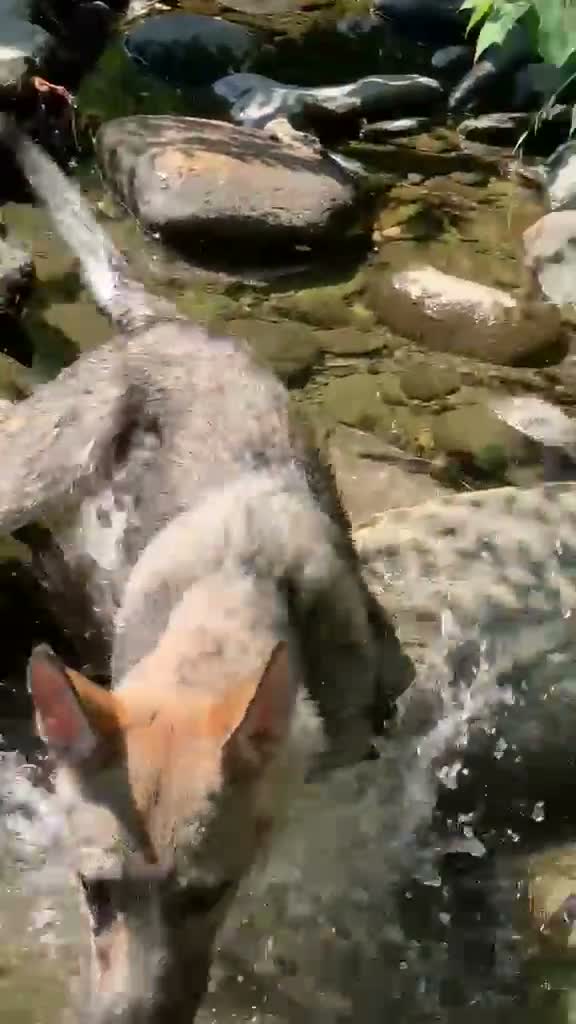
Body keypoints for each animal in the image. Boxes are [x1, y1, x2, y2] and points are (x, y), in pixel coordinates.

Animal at [0, 115, 412, 1024]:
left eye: (204, 895)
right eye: (94, 891)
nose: (122, 1023)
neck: (236, 584)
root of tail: (170, 326)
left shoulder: (344, 776)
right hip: (31, 472)